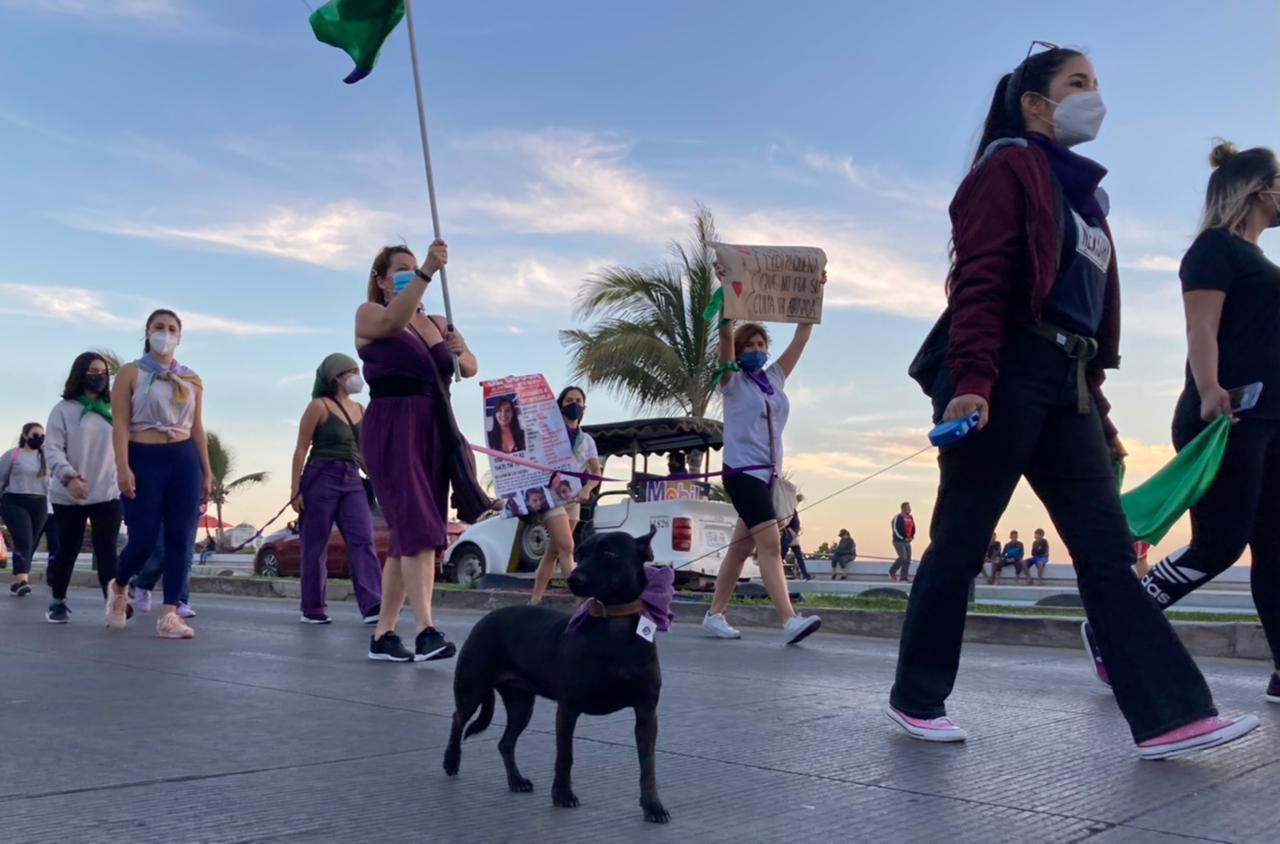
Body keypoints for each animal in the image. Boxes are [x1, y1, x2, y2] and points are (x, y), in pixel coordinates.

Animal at [442, 527, 670, 824]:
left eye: (609, 554)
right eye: (580, 553)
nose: (574, 579)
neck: (613, 624)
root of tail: (486, 618)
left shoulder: (646, 713)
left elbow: (648, 765)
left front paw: (653, 805)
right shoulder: (568, 709)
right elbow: (565, 756)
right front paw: (563, 794)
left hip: (520, 704)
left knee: (505, 743)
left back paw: (516, 780)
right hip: (473, 687)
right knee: (458, 719)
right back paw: (451, 760)